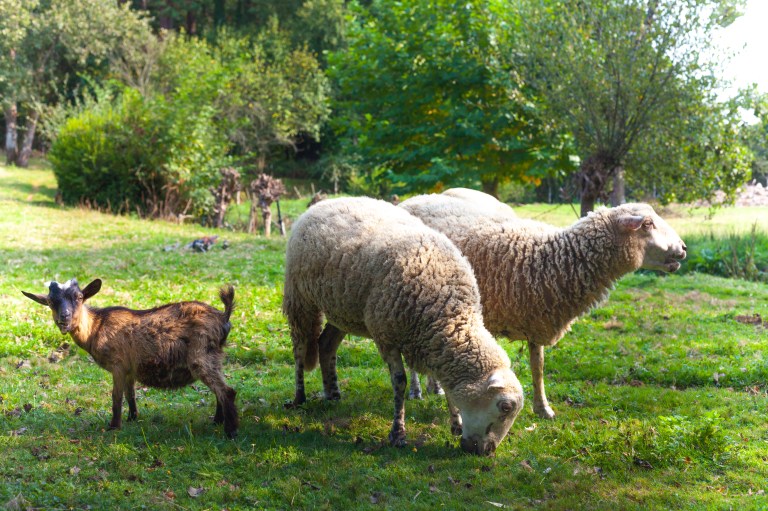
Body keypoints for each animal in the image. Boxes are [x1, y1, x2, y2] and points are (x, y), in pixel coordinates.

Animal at [22, 279, 239, 438]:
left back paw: (230, 432)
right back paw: (217, 421)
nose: (64, 318)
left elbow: (116, 396)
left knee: (227, 391)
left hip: (200, 356)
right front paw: (132, 418)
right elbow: (130, 394)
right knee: (220, 390)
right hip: (214, 357)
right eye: (51, 301)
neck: (96, 327)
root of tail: (224, 318)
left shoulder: (118, 365)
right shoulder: (129, 369)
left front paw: (114, 426)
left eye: (79, 297)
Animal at [282, 197, 524, 455]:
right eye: (505, 407)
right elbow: (399, 382)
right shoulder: (386, 337)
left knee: (326, 345)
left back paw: (333, 394)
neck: (449, 313)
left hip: (342, 310)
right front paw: (398, 433)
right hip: (299, 297)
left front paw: (456, 423)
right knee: (300, 349)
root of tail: (325, 202)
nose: (486, 451)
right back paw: (299, 398)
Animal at [400, 193, 687, 419]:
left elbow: (537, 368)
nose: (683, 248)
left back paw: (434, 387)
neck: (552, 258)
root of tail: (416, 198)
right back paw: (416, 390)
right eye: (647, 224)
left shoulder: (537, 319)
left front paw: (543, 408)